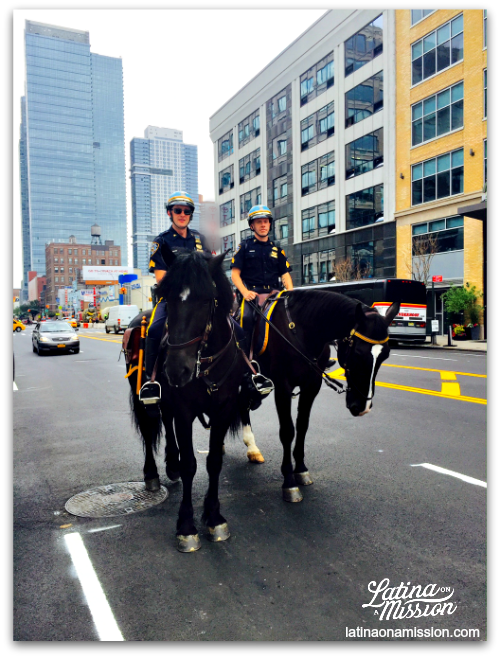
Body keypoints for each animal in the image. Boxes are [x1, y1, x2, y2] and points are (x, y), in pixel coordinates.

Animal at [129, 245, 246, 548]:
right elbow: (191, 464)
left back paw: (171, 463)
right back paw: (153, 474)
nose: (175, 369)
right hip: (141, 396)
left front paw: (214, 517)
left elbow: (213, 461)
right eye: (168, 298)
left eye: (206, 300)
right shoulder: (185, 410)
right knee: (149, 429)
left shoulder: (223, 409)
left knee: (165, 422)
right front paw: (186, 525)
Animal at [237, 290, 398, 500]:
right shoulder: (282, 386)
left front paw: (301, 470)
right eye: (358, 353)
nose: (363, 407)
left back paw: (251, 448)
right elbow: (287, 431)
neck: (302, 331)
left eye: (385, 355)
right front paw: (289, 482)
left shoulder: (312, 386)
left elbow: (302, 426)